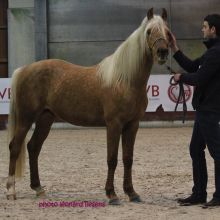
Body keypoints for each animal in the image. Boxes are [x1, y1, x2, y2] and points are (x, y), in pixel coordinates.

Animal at [6, 8, 168, 205]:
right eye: (149, 31)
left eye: (167, 31)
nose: (162, 52)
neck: (125, 80)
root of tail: (23, 70)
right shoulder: (114, 125)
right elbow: (112, 159)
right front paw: (112, 194)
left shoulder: (132, 125)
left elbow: (128, 158)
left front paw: (132, 193)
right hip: (25, 119)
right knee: (15, 147)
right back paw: (11, 191)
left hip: (45, 119)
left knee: (33, 147)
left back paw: (38, 188)